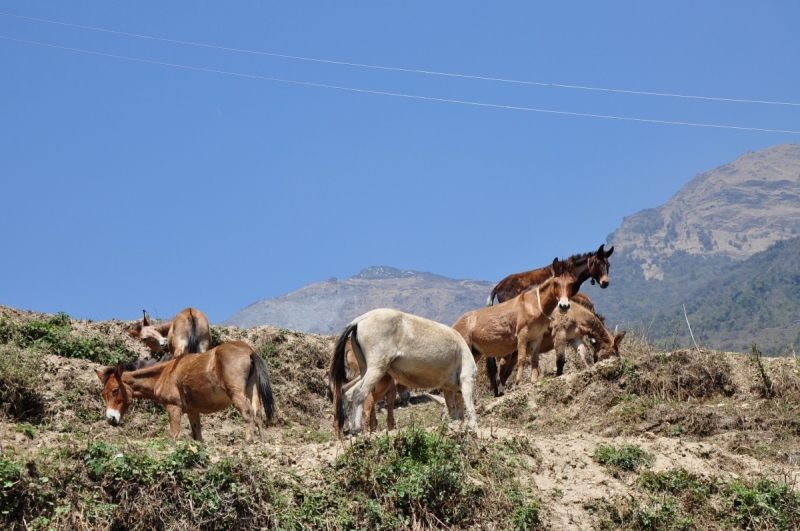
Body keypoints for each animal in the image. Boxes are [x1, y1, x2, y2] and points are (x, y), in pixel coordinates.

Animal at [94, 342, 272, 442]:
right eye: (103, 394)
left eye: (115, 390)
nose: (110, 419)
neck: (166, 372)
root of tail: (248, 350)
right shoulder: (192, 412)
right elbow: (198, 437)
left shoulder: (174, 408)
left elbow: (173, 437)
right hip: (252, 391)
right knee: (257, 413)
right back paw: (262, 441)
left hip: (236, 393)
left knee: (248, 412)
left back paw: (248, 441)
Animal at [328, 308, 478, 436]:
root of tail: (360, 320)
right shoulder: (467, 379)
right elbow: (469, 407)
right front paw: (473, 427)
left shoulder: (447, 388)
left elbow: (453, 409)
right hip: (377, 367)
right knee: (359, 393)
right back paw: (358, 429)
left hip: (365, 369)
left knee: (347, 390)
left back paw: (351, 427)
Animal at [450, 258, 576, 386]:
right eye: (555, 283)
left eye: (571, 283)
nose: (564, 306)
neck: (533, 305)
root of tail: (455, 324)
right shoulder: (522, 334)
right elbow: (522, 358)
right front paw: (518, 382)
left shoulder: (537, 337)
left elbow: (535, 360)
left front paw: (534, 380)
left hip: (475, 352)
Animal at [484, 298, 628, 396]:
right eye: (612, 355)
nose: (616, 367)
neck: (575, 313)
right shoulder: (560, 333)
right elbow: (560, 360)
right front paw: (558, 377)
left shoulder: (574, 338)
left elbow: (585, 357)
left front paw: (591, 369)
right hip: (506, 353)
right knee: (499, 373)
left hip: (513, 356)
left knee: (504, 374)